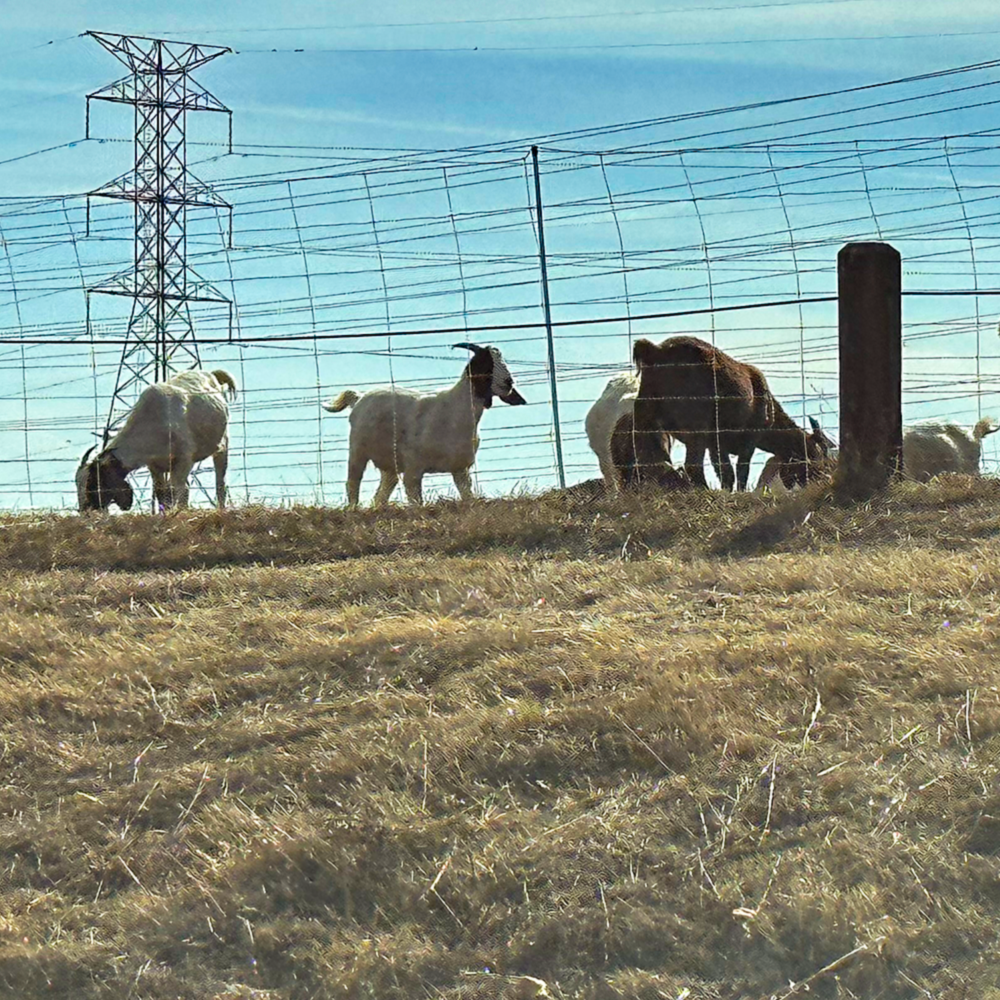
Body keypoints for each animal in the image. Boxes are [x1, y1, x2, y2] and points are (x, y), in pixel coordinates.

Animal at [76, 369, 237, 512]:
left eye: (93, 481)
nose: (85, 510)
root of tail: (210, 374)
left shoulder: (184, 460)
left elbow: (177, 490)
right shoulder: (154, 466)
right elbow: (162, 493)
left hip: (222, 446)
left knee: (220, 482)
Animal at [322, 342, 526, 506]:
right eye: (485, 362)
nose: (508, 382)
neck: (457, 409)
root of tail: (359, 397)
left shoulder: (460, 469)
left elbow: (467, 495)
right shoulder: (414, 468)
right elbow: (416, 500)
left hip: (389, 463)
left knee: (385, 488)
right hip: (358, 450)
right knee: (353, 482)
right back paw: (353, 508)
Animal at [632, 335, 833, 491]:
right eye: (815, 455)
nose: (822, 479)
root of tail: (656, 351)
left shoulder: (715, 444)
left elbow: (725, 472)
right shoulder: (749, 437)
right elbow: (740, 470)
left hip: (645, 419)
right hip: (696, 426)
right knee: (692, 465)